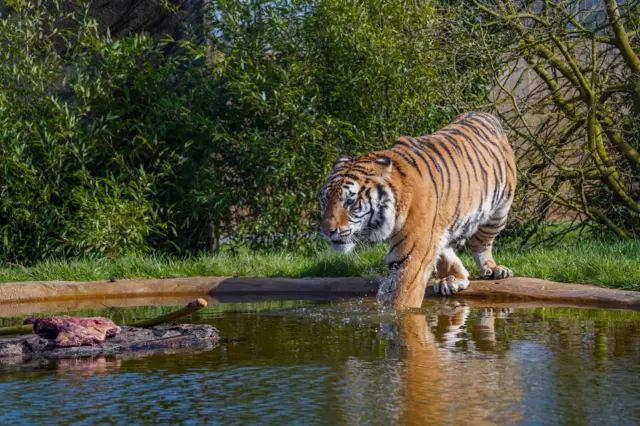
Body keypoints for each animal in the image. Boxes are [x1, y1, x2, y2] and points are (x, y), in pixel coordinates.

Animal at [319, 111, 517, 309]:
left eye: (350, 202)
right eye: (325, 201)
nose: (327, 232)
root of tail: (484, 113)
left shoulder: (412, 256)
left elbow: (403, 301)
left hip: (499, 212)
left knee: (481, 243)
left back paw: (493, 269)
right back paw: (452, 279)